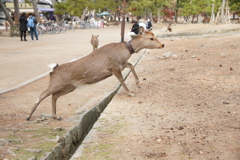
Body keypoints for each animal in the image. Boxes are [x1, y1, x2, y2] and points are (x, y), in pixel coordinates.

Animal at [26, 27, 165, 120]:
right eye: (151, 38)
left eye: (154, 36)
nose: (162, 44)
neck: (125, 51)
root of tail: (53, 69)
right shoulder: (114, 67)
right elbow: (122, 80)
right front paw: (131, 93)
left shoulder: (122, 64)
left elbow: (131, 66)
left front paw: (138, 84)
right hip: (57, 83)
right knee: (42, 94)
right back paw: (29, 116)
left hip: (70, 87)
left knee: (54, 96)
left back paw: (56, 116)